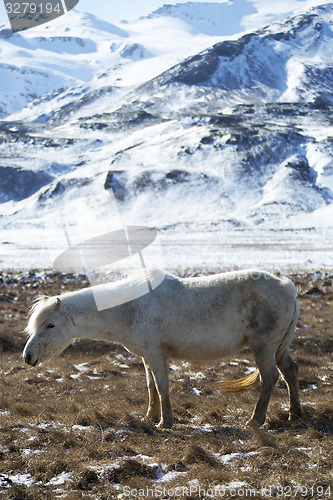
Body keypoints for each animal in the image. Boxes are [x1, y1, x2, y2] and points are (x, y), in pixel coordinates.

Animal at [22, 270, 300, 430]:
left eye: (50, 325)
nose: (28, 356)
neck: (129, 307)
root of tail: (289, 289)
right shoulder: (148, 356)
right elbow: (151, 387)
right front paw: (149, 416)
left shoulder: (156, 353)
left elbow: (162, 385)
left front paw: (165, 421)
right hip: (277, 348)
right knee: (290, 373)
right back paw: (294, 415)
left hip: (263, 348)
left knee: (270, 379)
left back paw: (255, 420)